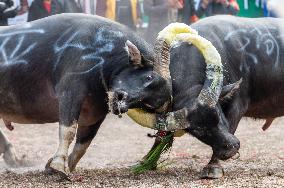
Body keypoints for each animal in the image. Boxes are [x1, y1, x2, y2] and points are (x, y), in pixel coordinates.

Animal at [110, 15, 284, 178]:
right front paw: (146, 161)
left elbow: (231, 126)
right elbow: (160, 136)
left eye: (218, 114)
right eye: (196, 130)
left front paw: (213, 166)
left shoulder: (237, 106)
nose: (231, 148)